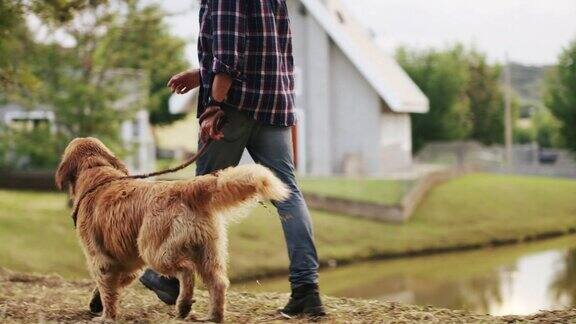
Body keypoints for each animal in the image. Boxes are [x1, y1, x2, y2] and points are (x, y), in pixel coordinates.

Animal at [55, 138, 288, 322]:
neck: (95, 171)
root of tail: (186, 187)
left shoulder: (100, 258)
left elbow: (107, 288)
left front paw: (107, 316)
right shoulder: (128, 263)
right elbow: (110, 286)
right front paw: (96, 303)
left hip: (155, 251)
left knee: (186, 270)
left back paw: (184, 305)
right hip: (209, 254)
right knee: (219, 283)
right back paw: (213, 316)